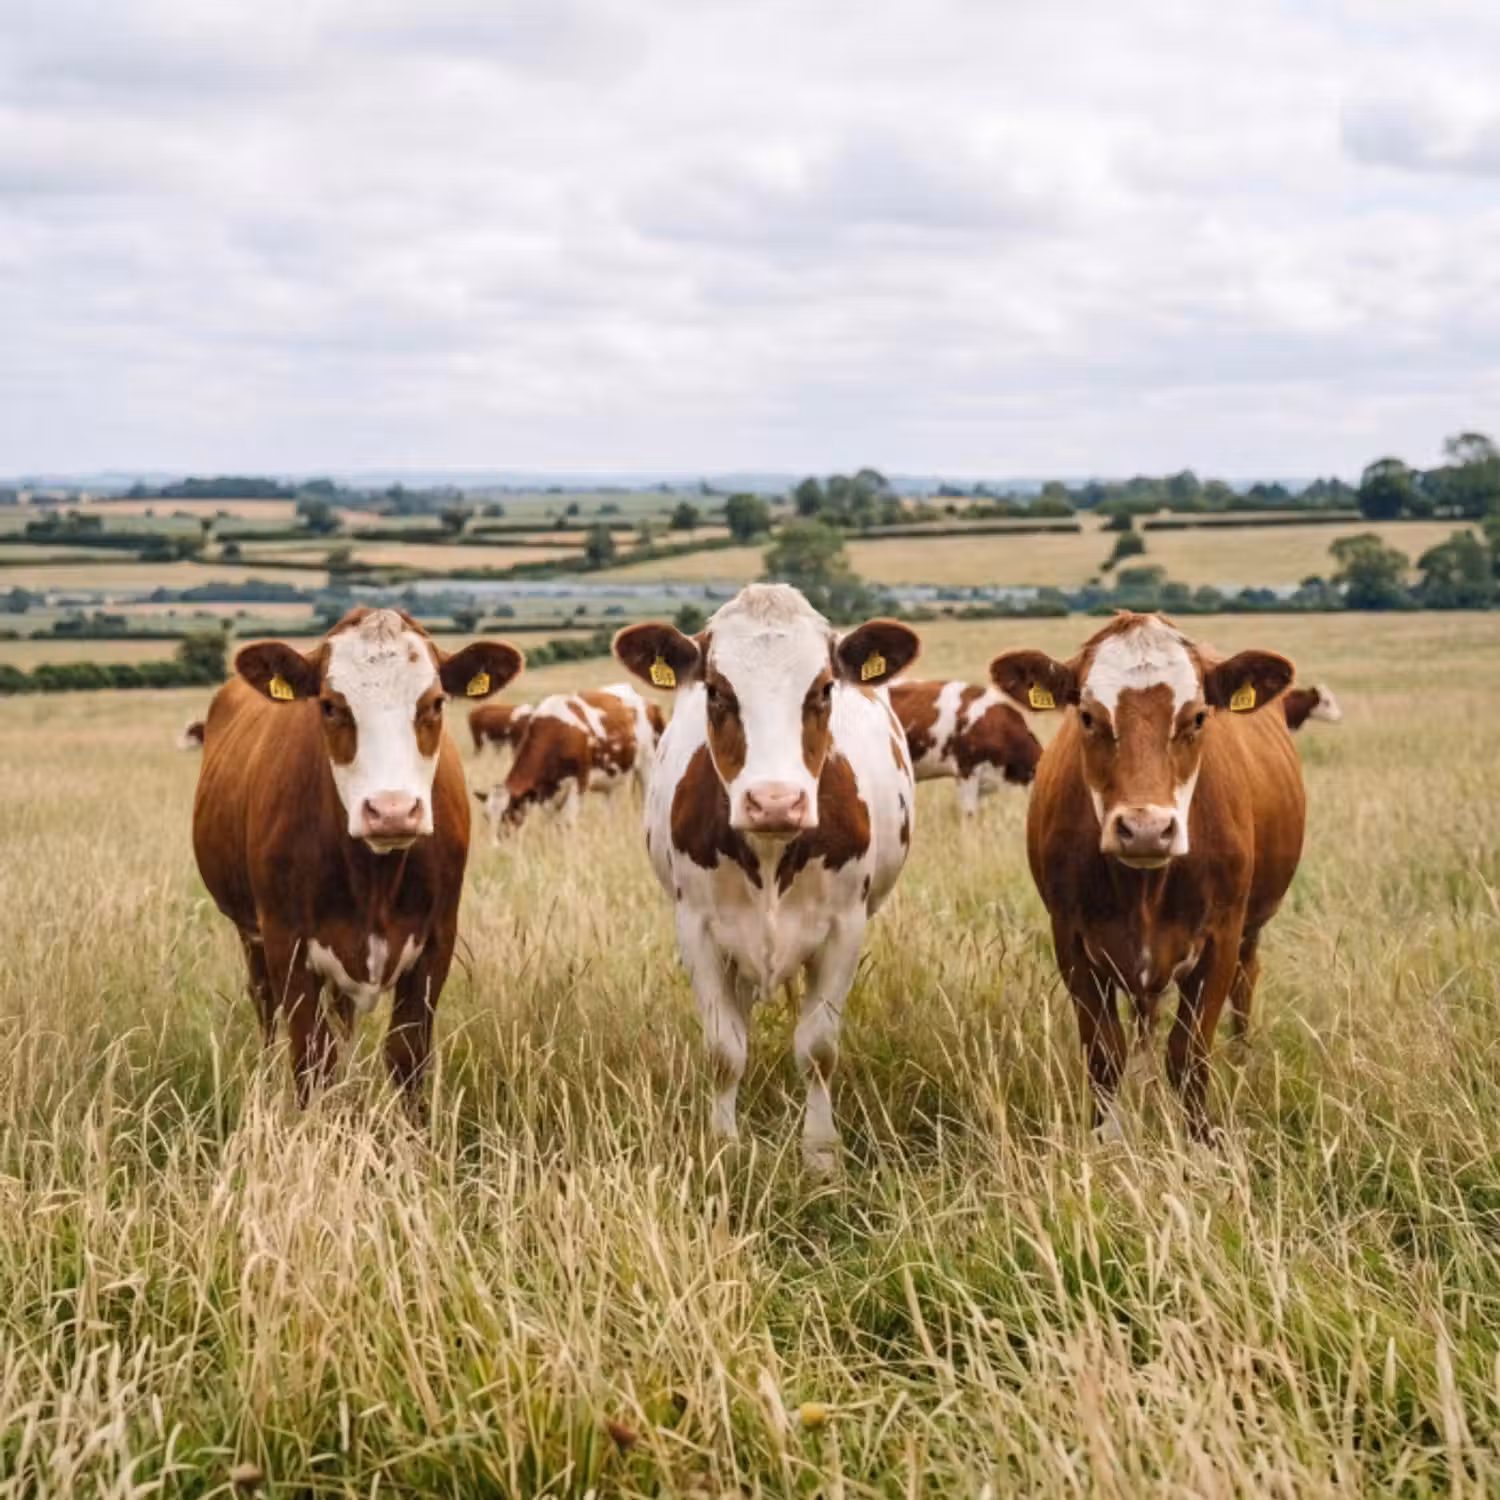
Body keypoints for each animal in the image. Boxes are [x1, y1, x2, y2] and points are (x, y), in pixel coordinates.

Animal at [192, 607, 523, 1108]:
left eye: (436, 703)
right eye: (330, 705)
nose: (391, 811)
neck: (374, 878)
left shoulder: (437, 941)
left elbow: (407, 1055)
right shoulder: (285, 942)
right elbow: (312, 1060)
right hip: (251, 935)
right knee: (265, 1005)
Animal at [484, 684, 663, 836]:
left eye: (508, 814)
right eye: (486, 817)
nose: (496, 847)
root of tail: (648, 703)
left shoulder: (579, 783)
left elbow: (567, 823)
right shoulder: (547, 793)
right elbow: (552, 822)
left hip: (648, 766)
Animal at [614, 583, 921, 1172]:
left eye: (823, 689)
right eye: (716, 692)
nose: (775, 801)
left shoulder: (844, 928)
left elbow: (818, 1047)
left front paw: (821, 1154)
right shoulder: (697, 928)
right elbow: (724, 1049)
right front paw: (724, 1145)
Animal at [991, 611, 1305, 1142]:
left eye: (1197, 717)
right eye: (1088, 717)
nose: (1145, 830)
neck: (1143, 889)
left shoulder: (1221, 939)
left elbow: (1190, 1054)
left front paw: (1200, 1139)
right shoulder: (1071, 940)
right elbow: (1105, 1053)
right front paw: (1107, 1137)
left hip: (1252, 928)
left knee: (1246, 981)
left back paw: (1243, 1058)